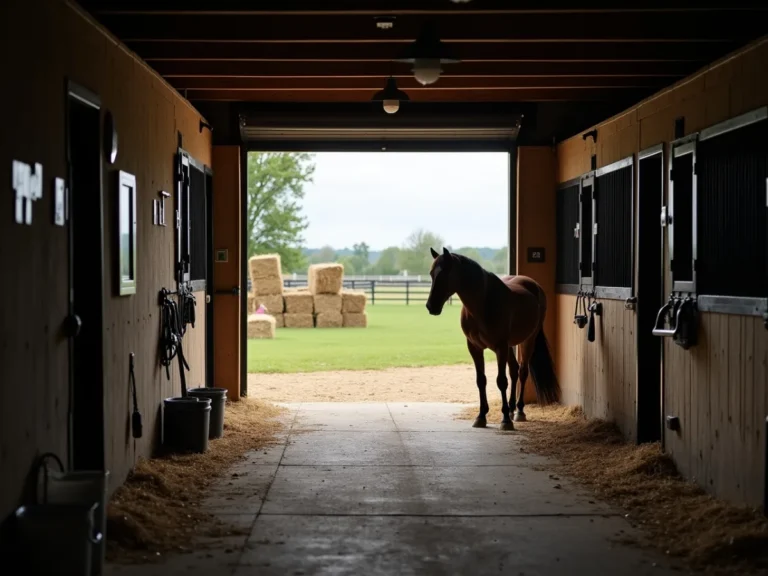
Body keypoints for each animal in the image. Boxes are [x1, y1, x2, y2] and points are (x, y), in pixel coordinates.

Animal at [425, 247, 561, 431]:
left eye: (445, 273)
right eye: (432, 273)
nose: (431, 306)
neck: (483, 304)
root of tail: (534, 286)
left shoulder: (500, 346)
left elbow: (501, 381)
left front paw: (505, 420)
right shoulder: (475, 347)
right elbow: (481, 380)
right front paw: (481, 416)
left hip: (527, 340)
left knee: (522, 371)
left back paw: (518, 411)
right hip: (510, 346)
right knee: (514, 370)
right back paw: (511, 408)